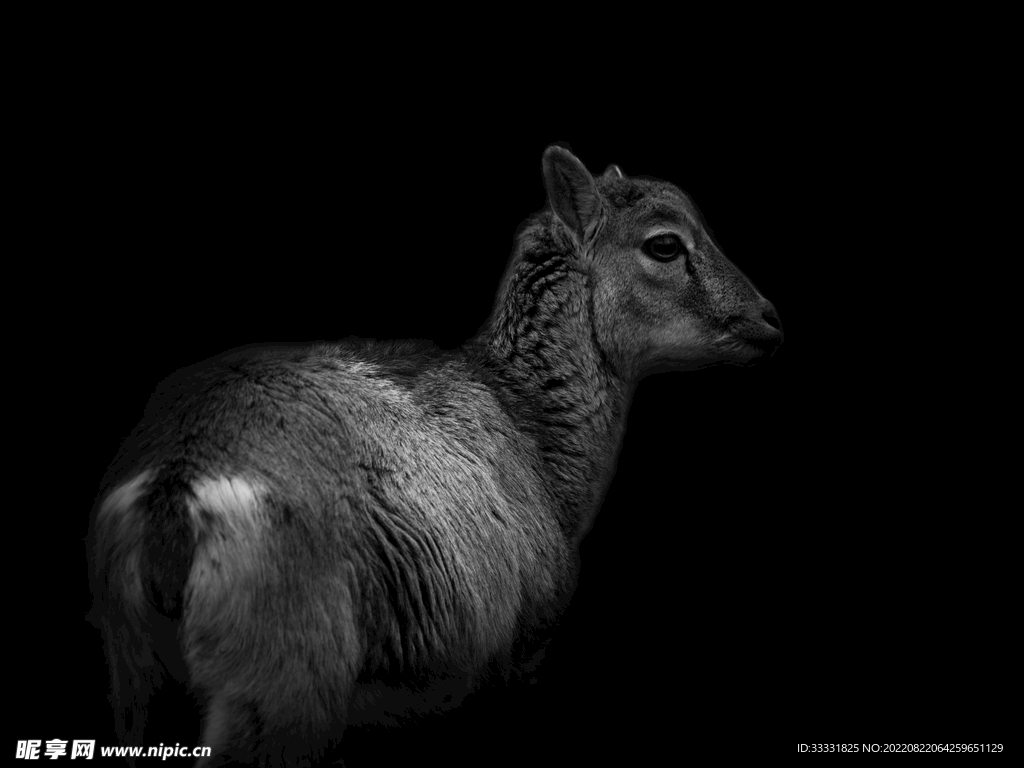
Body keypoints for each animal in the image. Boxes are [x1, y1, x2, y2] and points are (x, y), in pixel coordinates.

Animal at [90, 146, 783, 765]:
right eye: (664, 244)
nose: (770, 319)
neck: (538, 444)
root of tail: (174, 495)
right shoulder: (519, 652)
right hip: (283, 683)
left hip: (138, 686)